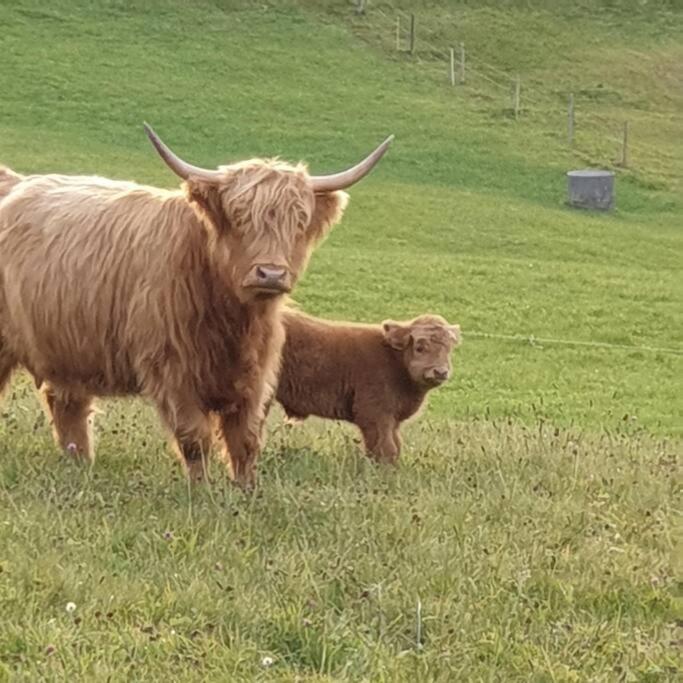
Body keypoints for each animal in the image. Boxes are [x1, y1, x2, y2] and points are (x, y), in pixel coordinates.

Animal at [0, 123, 392, 486]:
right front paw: (201, 491)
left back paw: (79, 464)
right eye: (238, 215)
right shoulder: (172, 370)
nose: (271, 273)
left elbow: (245, 440)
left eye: (299, 220)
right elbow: (195, 438)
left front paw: (246, 491)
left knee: (67, 405)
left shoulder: (257, 373)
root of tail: (14, 180)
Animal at [272, 312, 460, 462]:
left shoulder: (392, 419)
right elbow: (386, 448)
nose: (440, 371)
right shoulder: (375, 414)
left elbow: (395, 445)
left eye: (448, 349)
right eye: (420, 347)